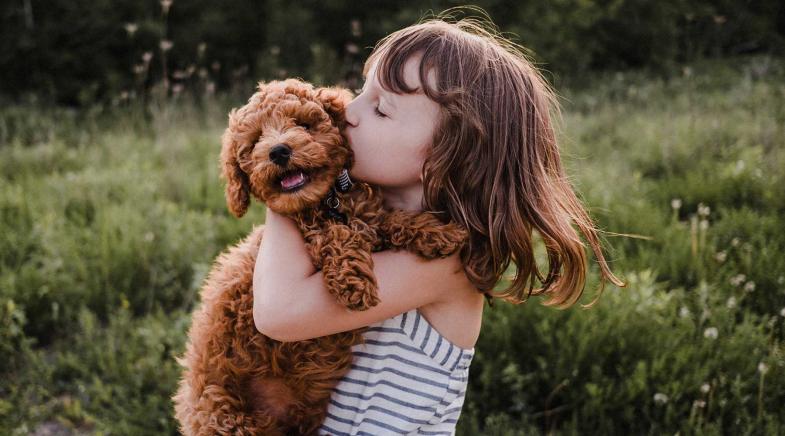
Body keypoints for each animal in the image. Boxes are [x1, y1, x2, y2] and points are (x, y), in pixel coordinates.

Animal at [172, 79, 466, 436]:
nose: (279, 151)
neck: (326, 203)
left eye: (303, 125)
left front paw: (439, 232)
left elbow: (390, 220)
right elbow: (336, 236)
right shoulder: (315, 233)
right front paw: (354, 282)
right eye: (255, 141)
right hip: (226, 417)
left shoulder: (366, 217)